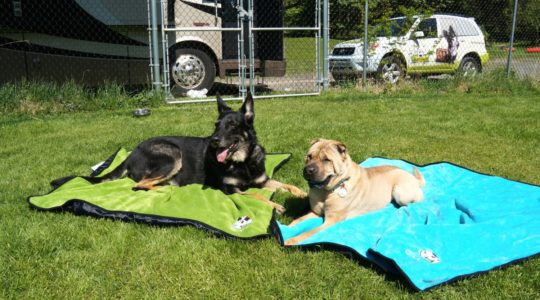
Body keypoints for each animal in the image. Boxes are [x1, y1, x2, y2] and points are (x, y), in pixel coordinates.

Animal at [286, 139, 426, 245]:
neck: (326, 191)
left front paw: (291, 240)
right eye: (309, 157)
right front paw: (287, 228)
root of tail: (413, 177)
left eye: (326, 160)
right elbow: (297, 221)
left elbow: (309, 232)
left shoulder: (331, 220)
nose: (308, 170)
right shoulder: (315, 213)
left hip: (400, 193)